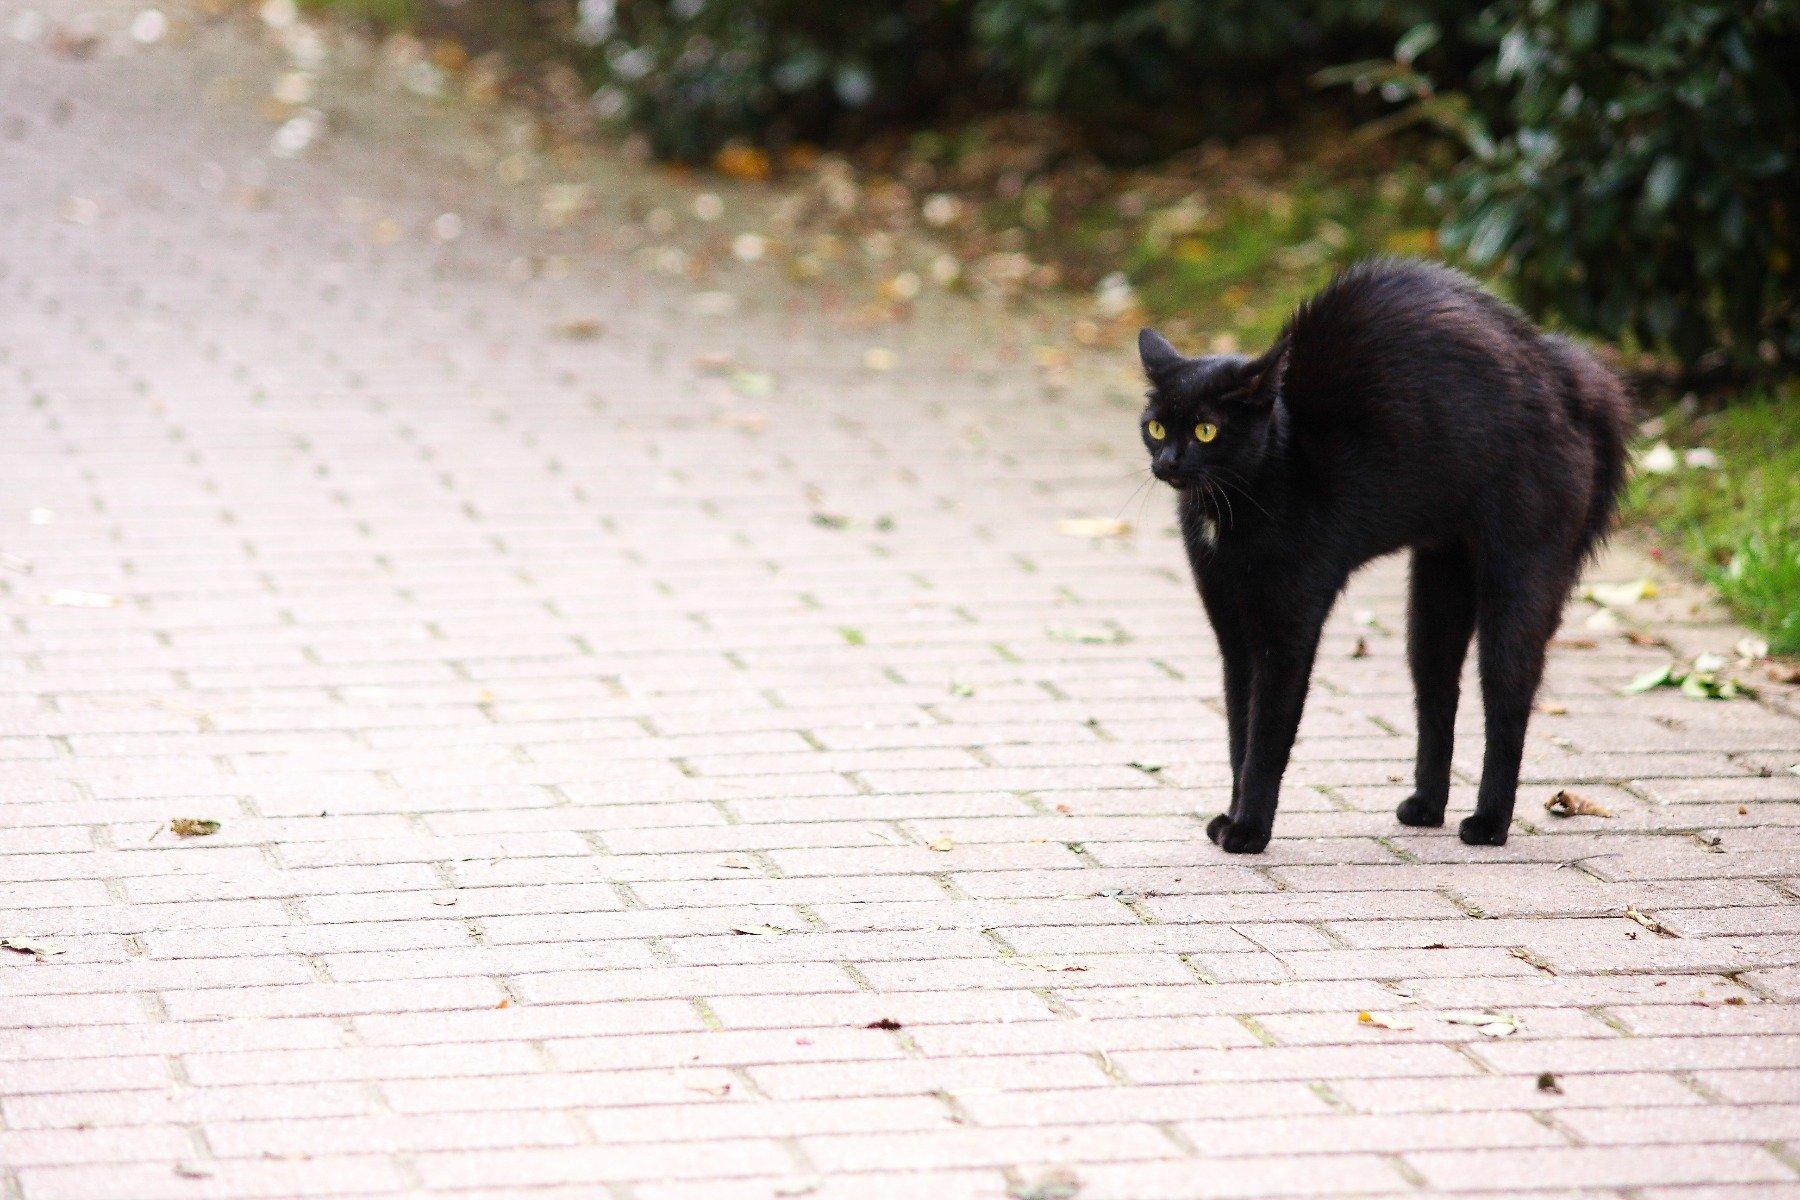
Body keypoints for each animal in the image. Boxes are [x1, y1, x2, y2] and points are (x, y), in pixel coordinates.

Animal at [1137, 257, 1634, 849]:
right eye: (1156, 426)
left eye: (1207, 430)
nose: (1167, 461)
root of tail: (1569, 377)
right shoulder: (1233, 632)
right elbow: (1240, 730)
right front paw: (1231, 817)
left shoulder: (1287, 630)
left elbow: (1267, 737)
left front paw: (1249, 830)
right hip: (1438, 586)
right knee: (1437, 691)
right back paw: (1427, 806)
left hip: (1522, 573)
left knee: (1507, 699)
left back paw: (1489, 823)